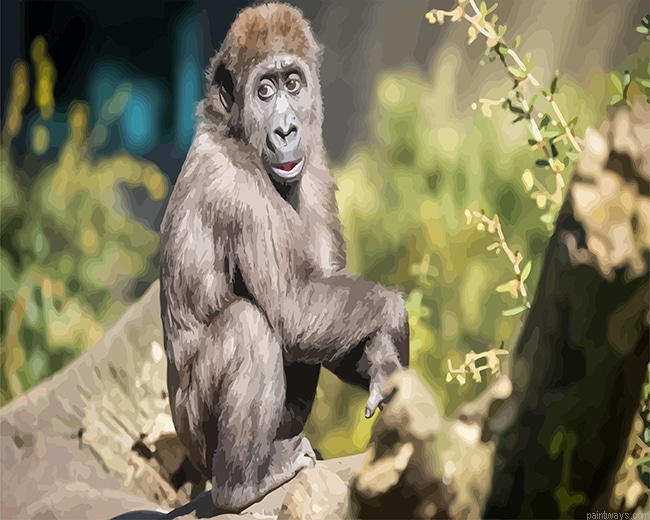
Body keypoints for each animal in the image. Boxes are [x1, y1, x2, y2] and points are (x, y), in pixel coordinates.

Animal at [159, 3, 409, 513]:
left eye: (292, 84)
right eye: (264, 90)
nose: (286, 128)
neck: (232, 129)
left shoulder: (316, 168)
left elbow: (329, 305)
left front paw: (382, 361)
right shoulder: (236, 185)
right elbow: (293, 308)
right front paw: (396, 318)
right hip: (193, 442)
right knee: (249, 327)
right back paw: (242, 484)